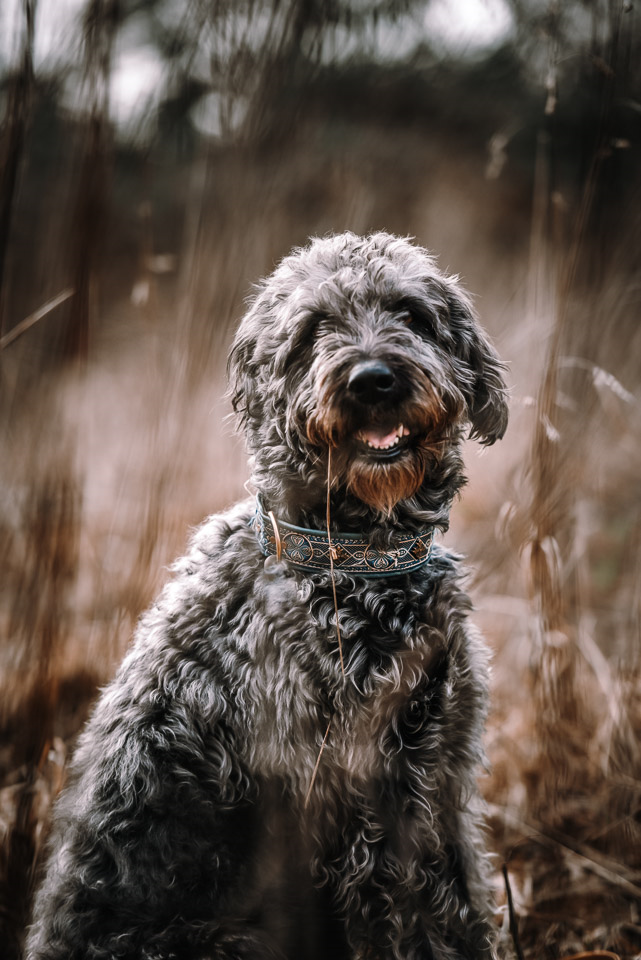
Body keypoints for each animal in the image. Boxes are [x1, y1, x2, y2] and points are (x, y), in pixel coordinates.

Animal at [27, 234, 510, 960]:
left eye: (410, 313)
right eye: (314, 329)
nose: (374, 380)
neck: (350, 561)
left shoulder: (440, 773)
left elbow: (460, 898)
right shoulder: (364, 803)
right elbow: (411, 921)